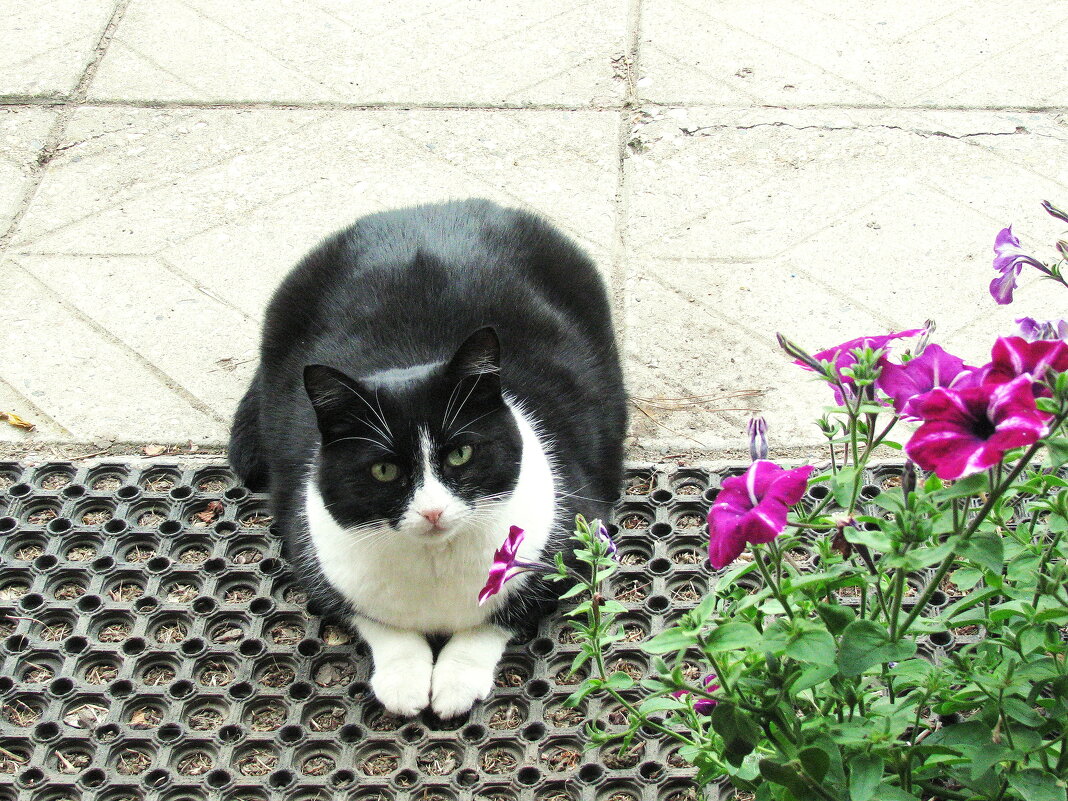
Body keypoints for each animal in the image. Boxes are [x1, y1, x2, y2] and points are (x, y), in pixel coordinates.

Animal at [225, 200, 623, 721]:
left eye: (460, 453)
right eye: (384, 470)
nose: (433, 511)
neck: (435, 564)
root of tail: (429, 207)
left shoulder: (577, 538)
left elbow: (497, 616)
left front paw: (455, 679)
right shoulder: (310, 546)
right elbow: (373, 618)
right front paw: (404, 678)